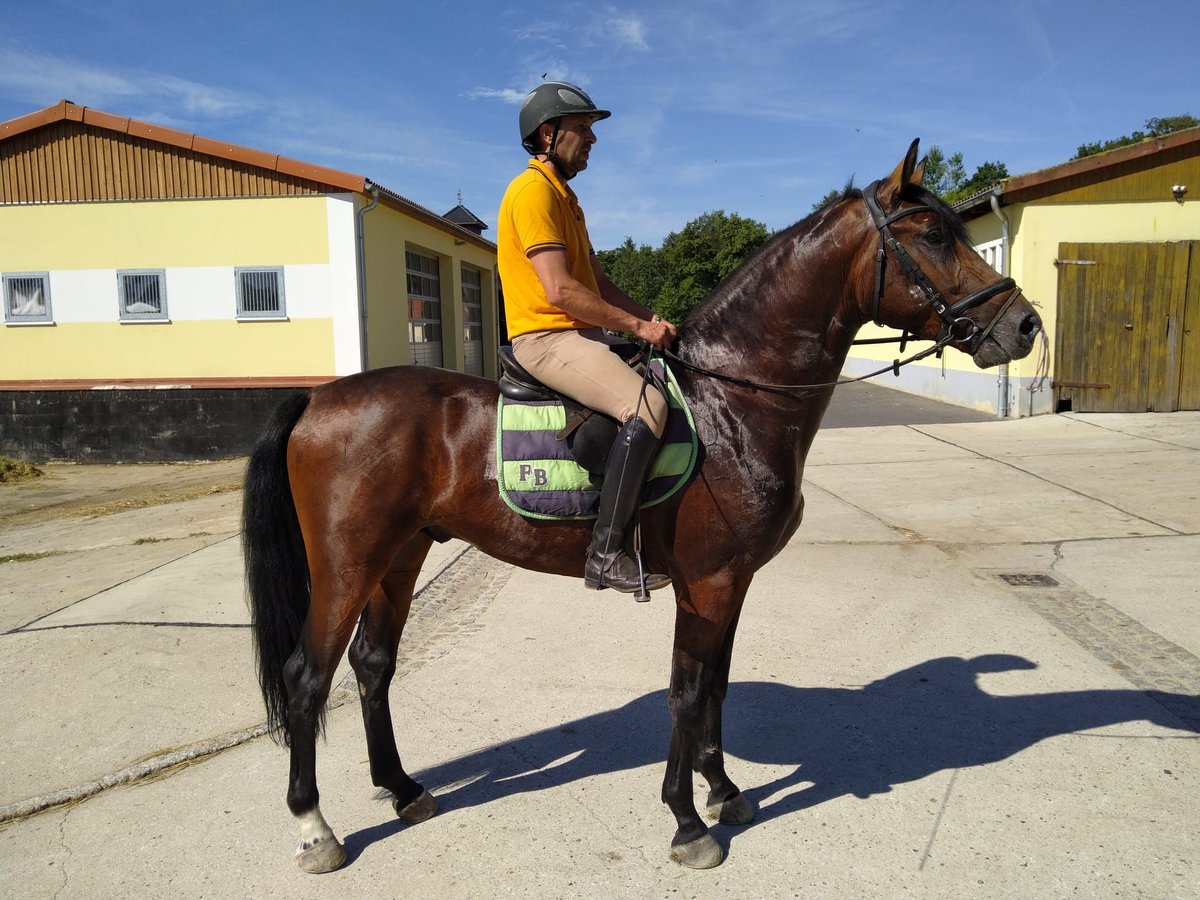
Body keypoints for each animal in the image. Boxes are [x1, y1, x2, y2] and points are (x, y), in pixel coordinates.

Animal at [241, 142, 1041, 873]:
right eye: (932, 235)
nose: (1025, 326)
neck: (732, 402)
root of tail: (318, 397)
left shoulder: (732, 582)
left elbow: (716, 687)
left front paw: (724, 791)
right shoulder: (709, 582)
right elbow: (686, 695)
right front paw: (688, 822)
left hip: (401, 555)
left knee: (373, 664)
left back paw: (404, 789)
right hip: (347, 564)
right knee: (307, 677)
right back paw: (315, 829)